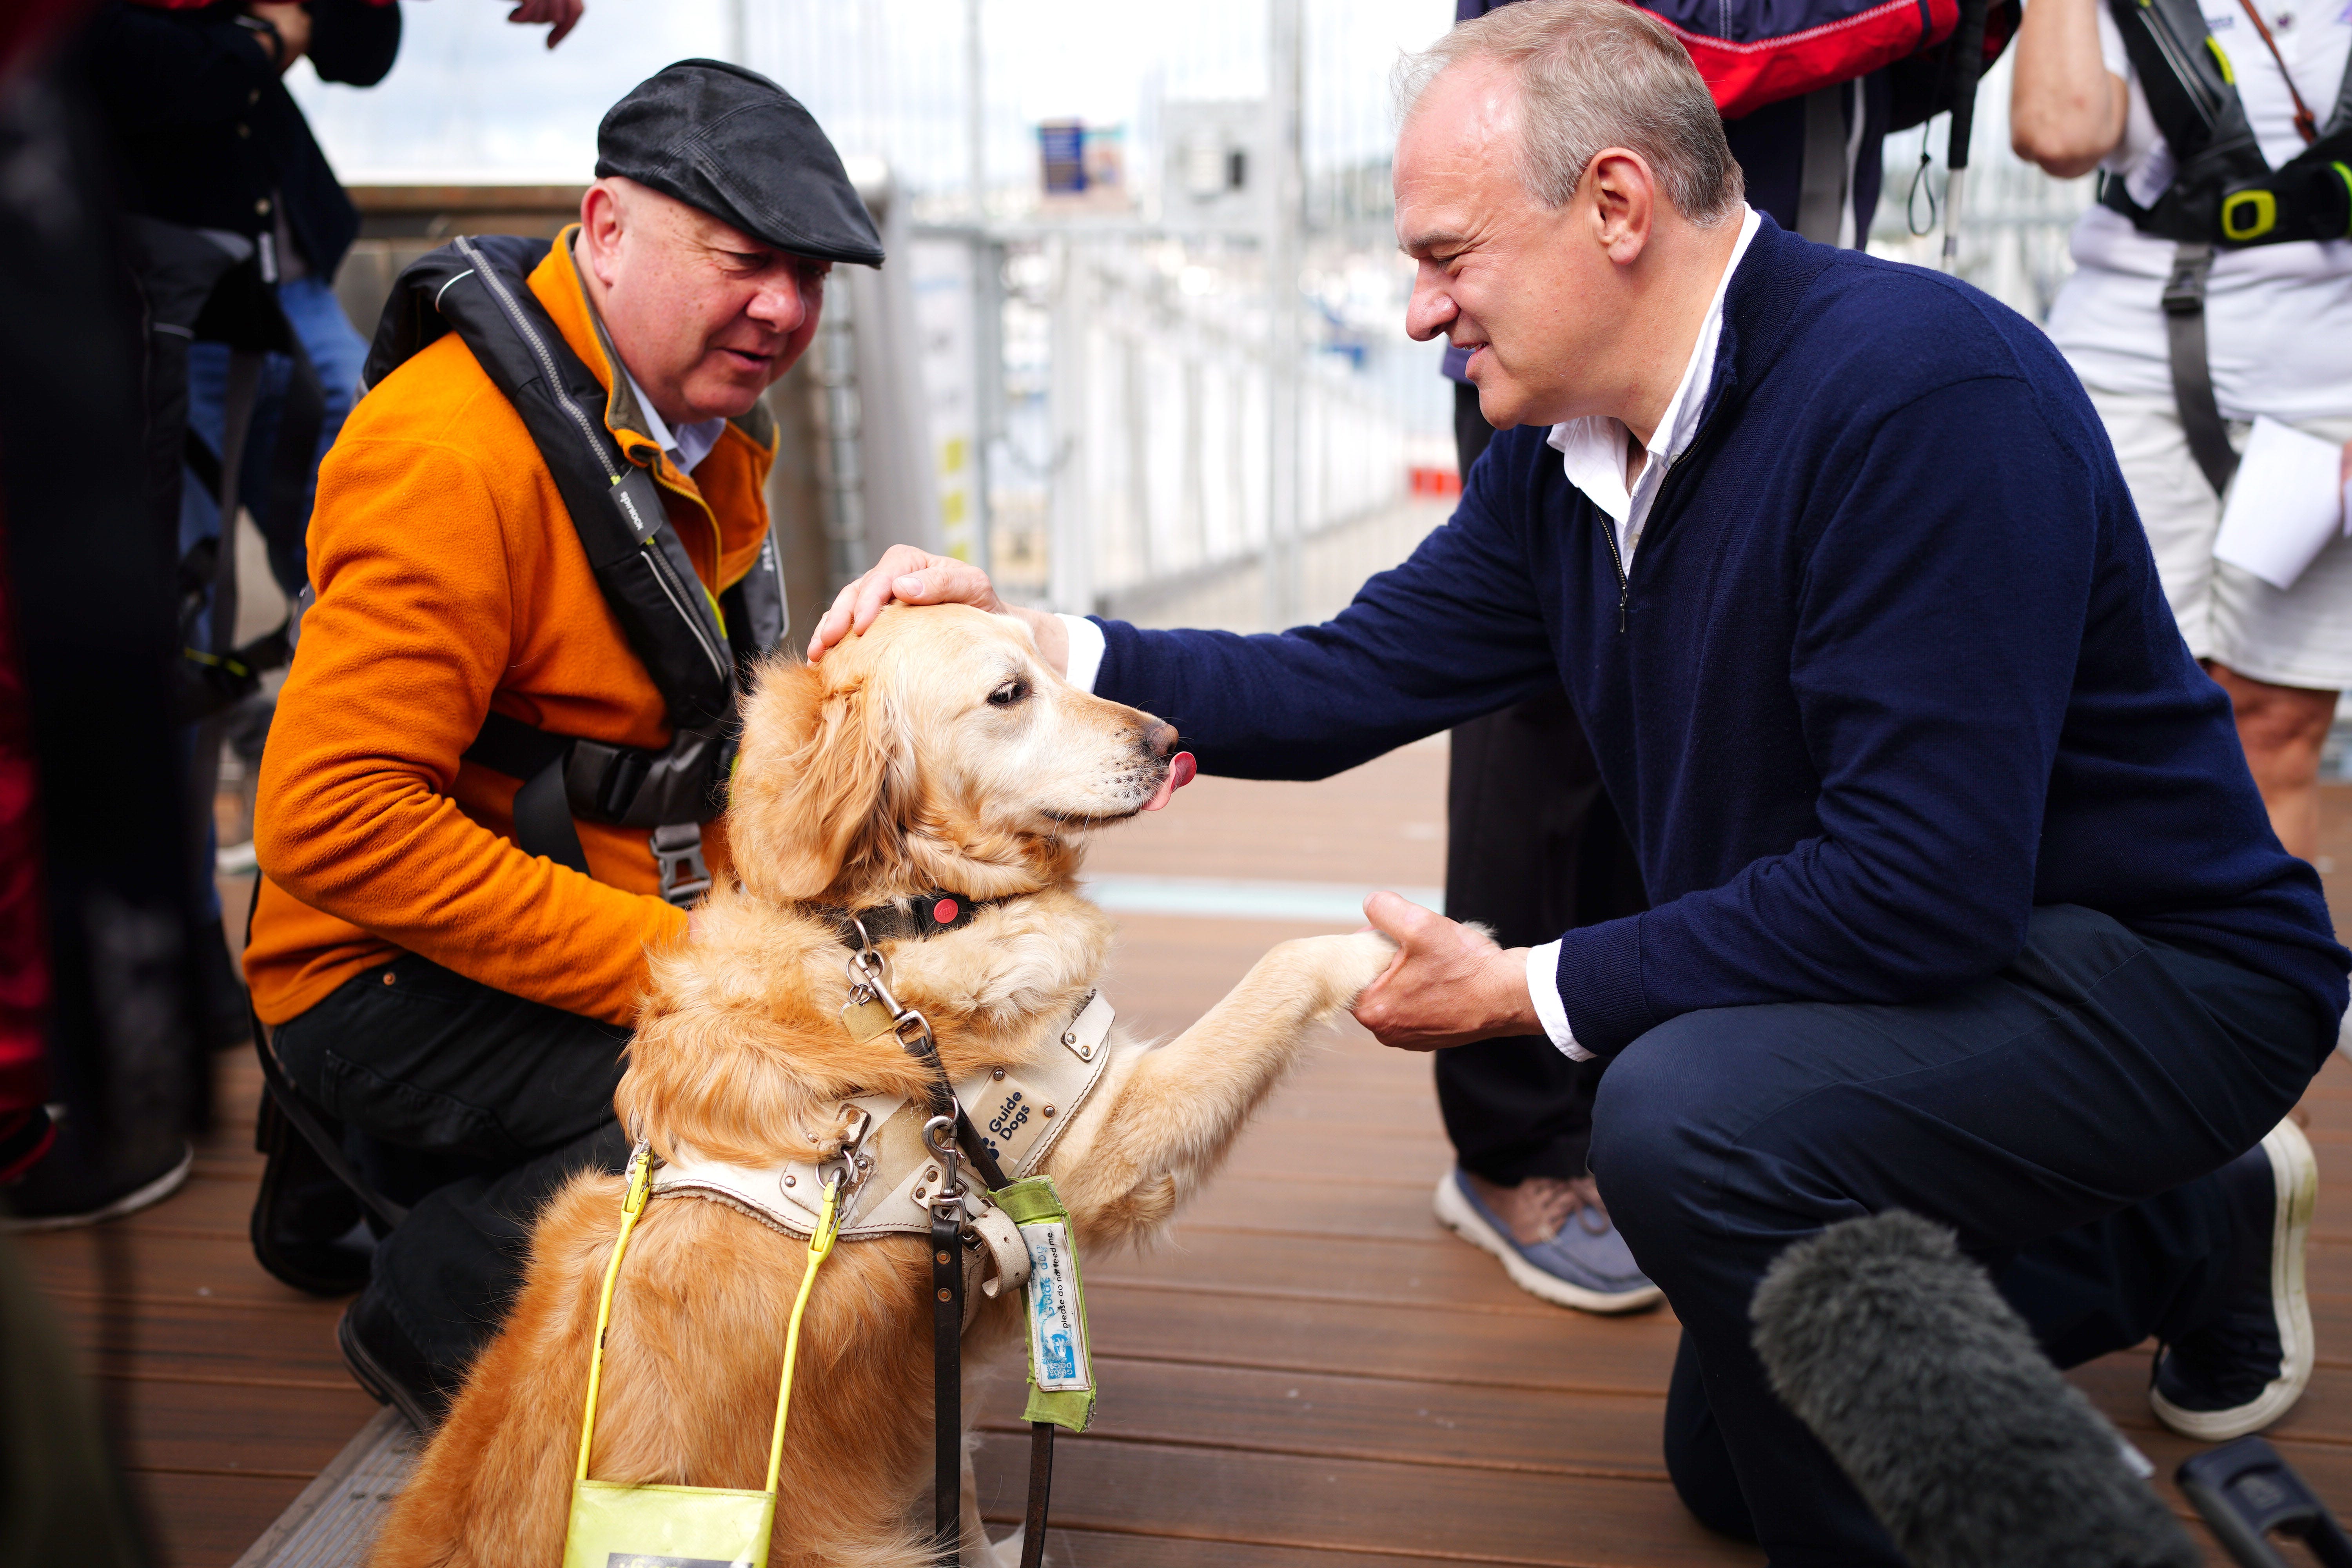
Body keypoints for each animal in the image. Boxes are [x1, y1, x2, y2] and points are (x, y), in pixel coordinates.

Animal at [372, 606, 1392, 1568]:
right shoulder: (1096, 1142)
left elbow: (960, 1488)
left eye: (1055, 661)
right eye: (1009, 693)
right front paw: (1393, 946)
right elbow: (1286, 961)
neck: (904, 916)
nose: (1166, 736)